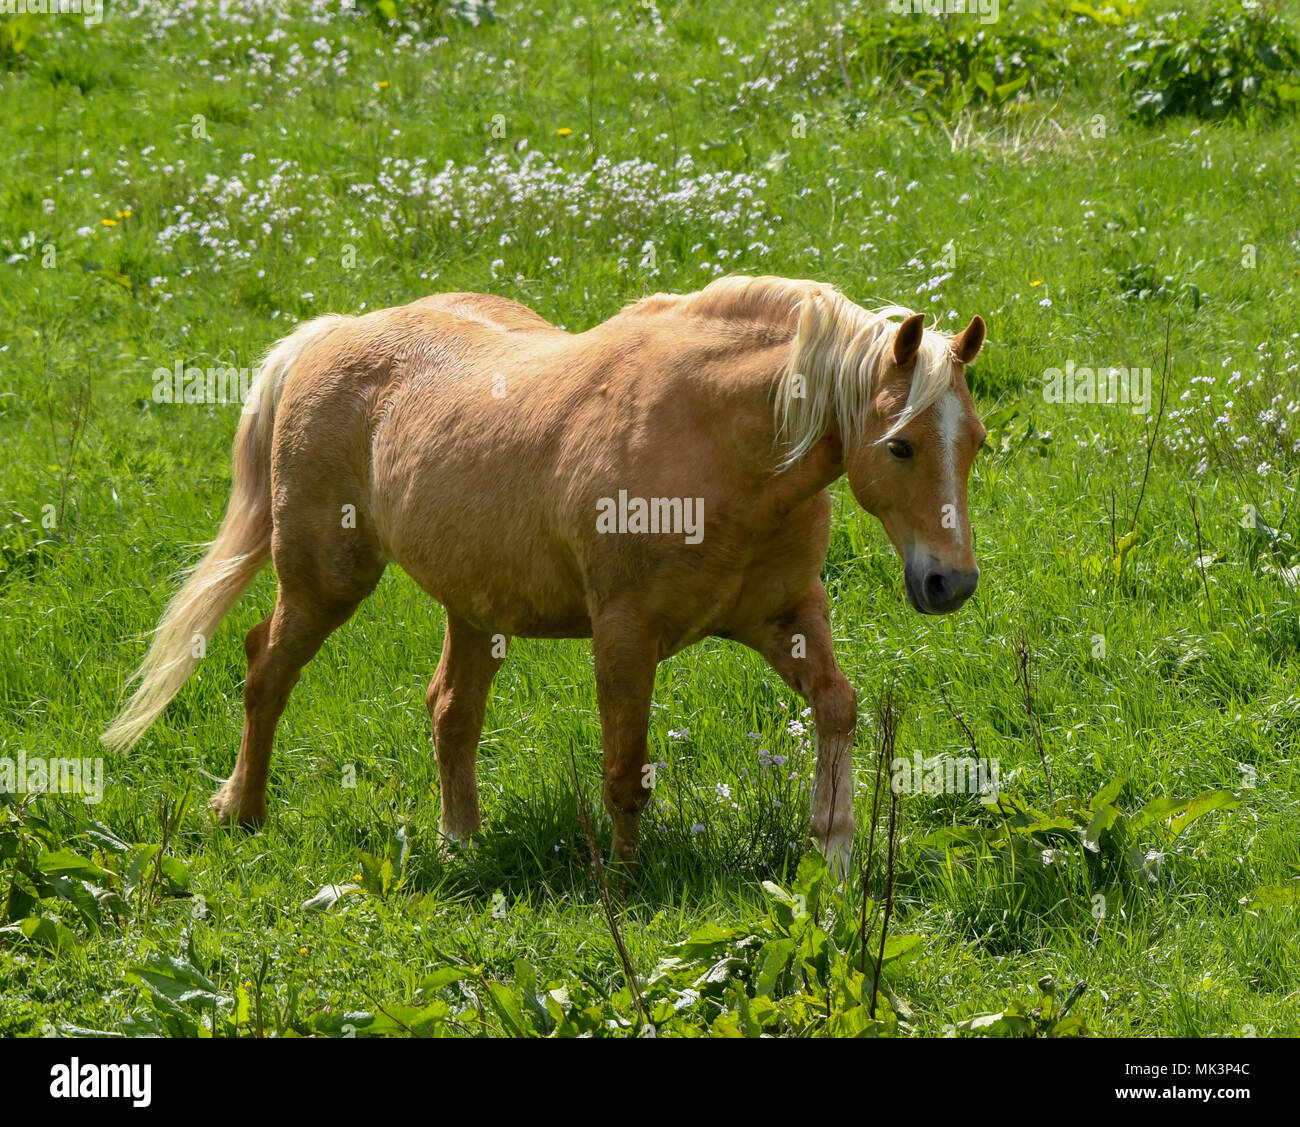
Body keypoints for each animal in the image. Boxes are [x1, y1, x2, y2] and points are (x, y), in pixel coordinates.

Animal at [106, 272, 982, 873]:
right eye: (901, 444)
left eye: (972, 440)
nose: (951, 583)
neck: (724, 446)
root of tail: (331, 335)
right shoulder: (625, 636)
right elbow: (625, 771)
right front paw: (628, 884)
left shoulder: (786, 616)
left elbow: (838, 706)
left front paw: (832, 851)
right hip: (326, 581)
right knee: (266, 671)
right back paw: (242, 811)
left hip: (471, 606)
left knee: (450, 711)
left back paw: (459, 841)